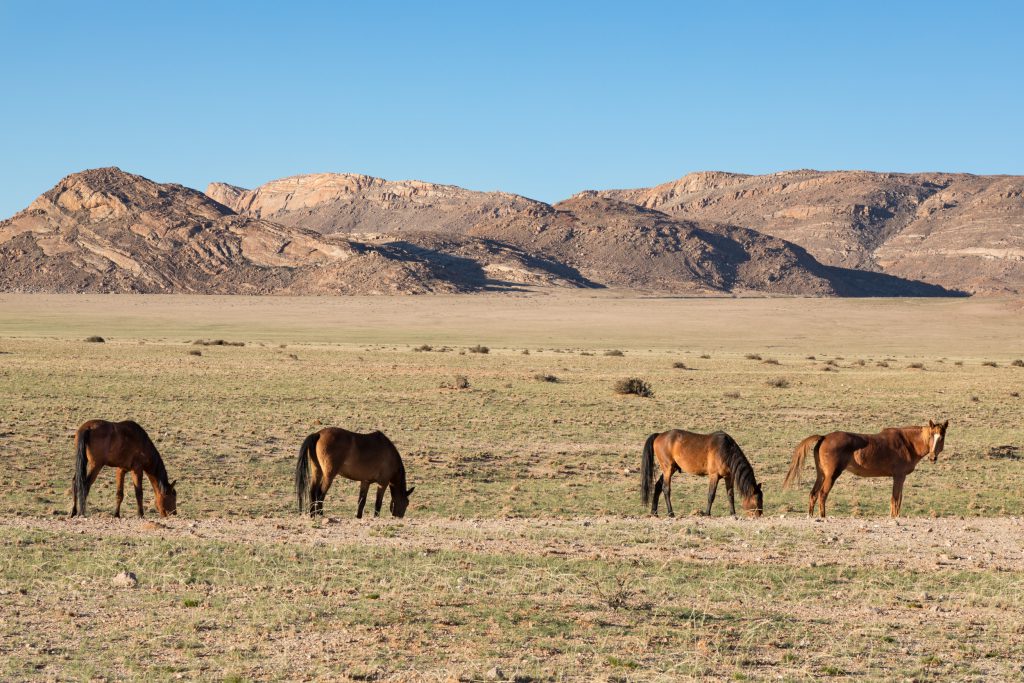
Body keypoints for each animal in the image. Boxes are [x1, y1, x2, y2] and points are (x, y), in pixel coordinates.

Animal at [782, 417, 950, 518]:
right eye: (931, 436)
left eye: (942, 437)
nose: (933, 457)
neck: (907, 443)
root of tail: (824, 437)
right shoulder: (899, 476)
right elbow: (895, 499)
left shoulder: (900, 478)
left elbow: (898, 499)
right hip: (831, 475)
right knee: (822, 494)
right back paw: (822, 517)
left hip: (821, 474)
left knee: (813, 494)